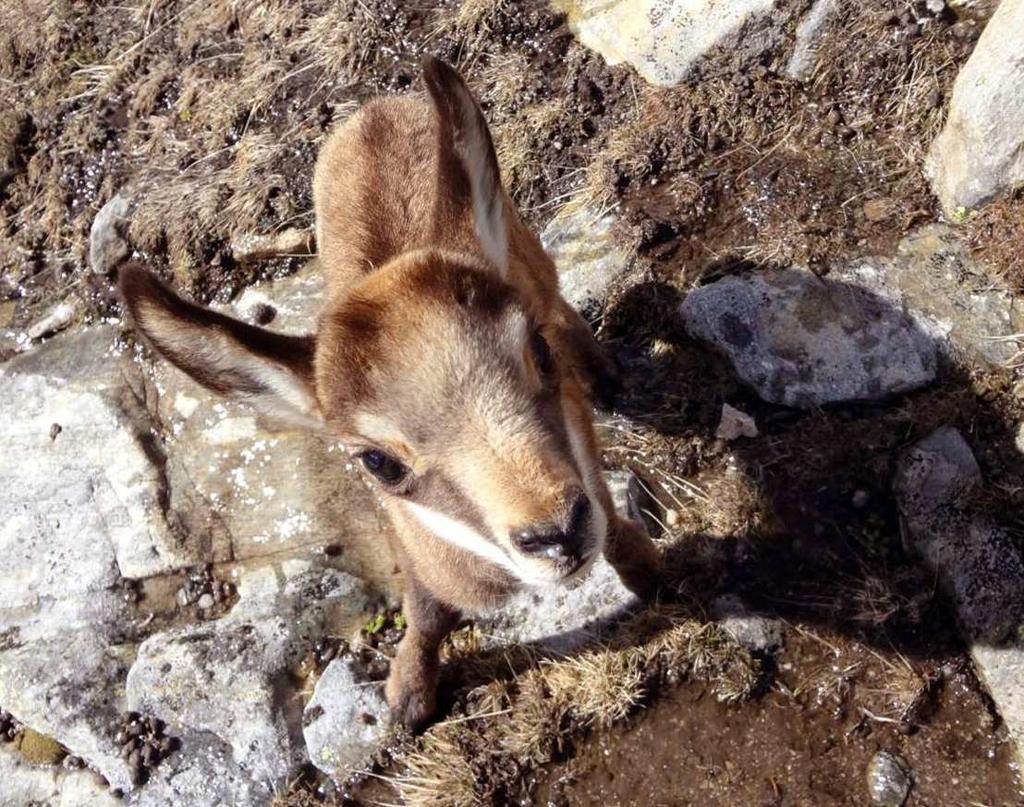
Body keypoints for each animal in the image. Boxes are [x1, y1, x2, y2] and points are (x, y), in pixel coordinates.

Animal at [119, 53, 659, 729]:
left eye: (535, 352)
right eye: (377, 462)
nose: (556, 534)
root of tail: (378, 108)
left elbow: (613, 520)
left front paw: (652, 571)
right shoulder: (412, 546)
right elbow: (424, 612)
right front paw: (407, 695)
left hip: (523, 242)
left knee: (557, 296)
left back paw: (606, 375)